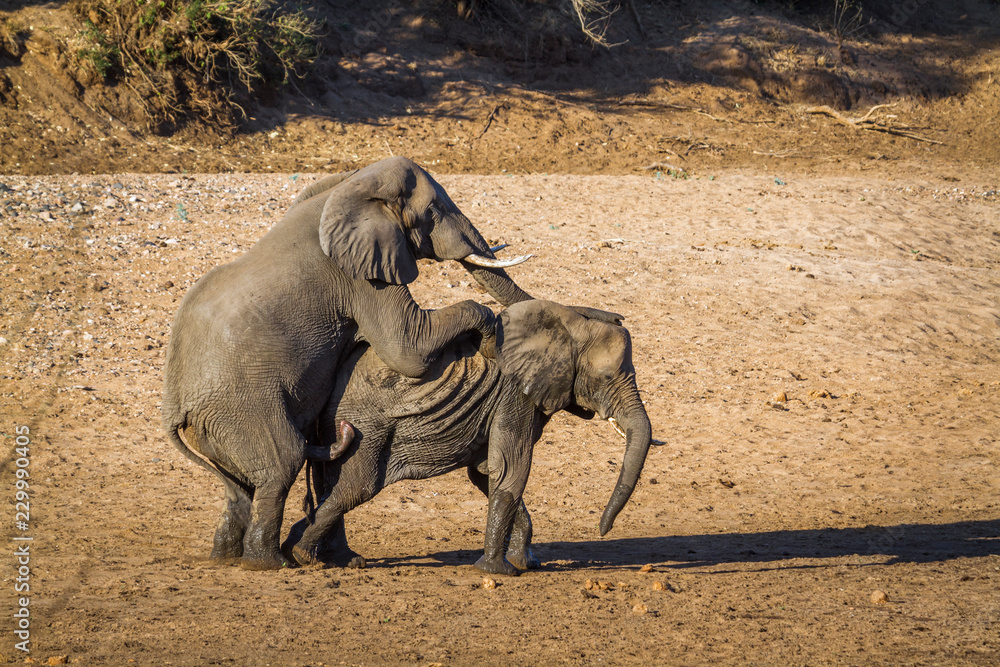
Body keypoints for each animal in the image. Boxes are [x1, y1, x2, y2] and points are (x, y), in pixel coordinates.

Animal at [162, 156, 543, 570]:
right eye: (434, 210)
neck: (351, 187)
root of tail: (173, 407)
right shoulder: (360, 278)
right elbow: (407, 348)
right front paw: (489, 338)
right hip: (241, 405)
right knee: (282, 464)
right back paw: (272, 564)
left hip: (217, 423)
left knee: (241, 485)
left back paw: (239, 559)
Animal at [283, 299, 653, 576]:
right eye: (606, 378)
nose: (602, 530)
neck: (567, 322)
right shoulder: (514, 394)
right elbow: (511, 469)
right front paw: (496, 570)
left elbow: (488, 471)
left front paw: (525, 563)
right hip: (362, 423)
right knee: (357, 486)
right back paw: (304, 555)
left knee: (335, 485)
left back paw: (302, 550)